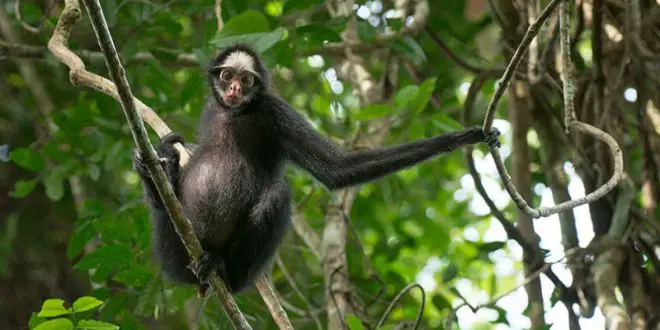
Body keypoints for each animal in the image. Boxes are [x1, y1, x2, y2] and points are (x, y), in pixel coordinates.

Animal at [133, 43, 500, 294]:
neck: (235, 114)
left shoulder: (273, 111)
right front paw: (157, 162)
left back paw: (222, 269)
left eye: (246, 79)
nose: (235, 89)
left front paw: (460, 138)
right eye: (227, 76)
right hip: (172, 249)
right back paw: (159, 171)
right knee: (164, 207)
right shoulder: (214, 106)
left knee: (277, 195)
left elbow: (334, 169)